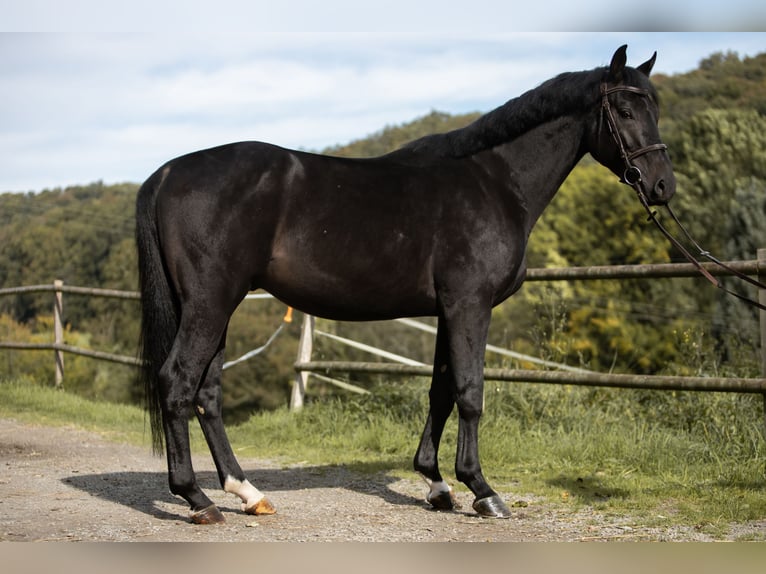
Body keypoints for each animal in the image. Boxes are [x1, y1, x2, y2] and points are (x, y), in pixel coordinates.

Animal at [138, 46, 680, 528]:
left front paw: (437, 484)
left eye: (656, 109)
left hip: (216, 306)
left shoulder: (448, 309)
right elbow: (470, 391)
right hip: (211, 303)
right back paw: (197, 499)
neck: (494, 182)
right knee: (178, 382)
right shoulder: (470, 305)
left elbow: (440, 390)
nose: (662, 186)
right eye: (625, 110)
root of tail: (166, 173)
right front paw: (482, 490)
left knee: (207, 393)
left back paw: (247, 494)